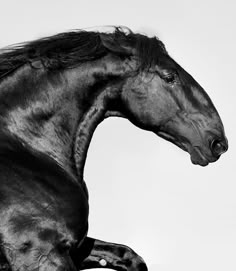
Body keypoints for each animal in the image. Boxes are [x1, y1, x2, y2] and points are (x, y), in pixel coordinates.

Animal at [0, 28, 227, 271]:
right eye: (169, 76)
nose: (218, 142)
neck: (29, 149)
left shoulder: (77, 249)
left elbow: (128, 255)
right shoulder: (43, 255)